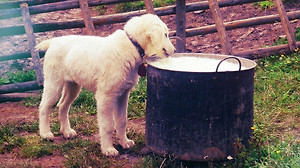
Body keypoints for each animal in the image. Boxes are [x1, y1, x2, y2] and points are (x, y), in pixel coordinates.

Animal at [35, 14, 176, 156]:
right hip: (54, 82)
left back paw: (67, 132)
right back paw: (45, 133)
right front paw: (108, 149)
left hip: (73, 86)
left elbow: (121, 121)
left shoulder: (123, 94)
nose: (174, 50)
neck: (132, 45)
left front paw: (124, 143)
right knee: (44, 106)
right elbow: (107, 126)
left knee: (62, 105)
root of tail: (53, 41)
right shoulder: (106, 96)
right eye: (165, 35)